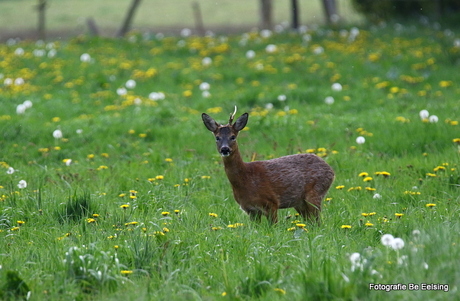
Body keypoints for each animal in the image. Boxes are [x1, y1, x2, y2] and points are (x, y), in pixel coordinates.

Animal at [202, 108, 334, 223]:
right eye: (217, 138)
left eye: (233, 137)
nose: (225, 149)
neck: (246, 178)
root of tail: (331, 170)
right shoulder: (250, 209)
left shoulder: (272, 202)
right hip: (300, 202)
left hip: (316, 192)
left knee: (317, 222)